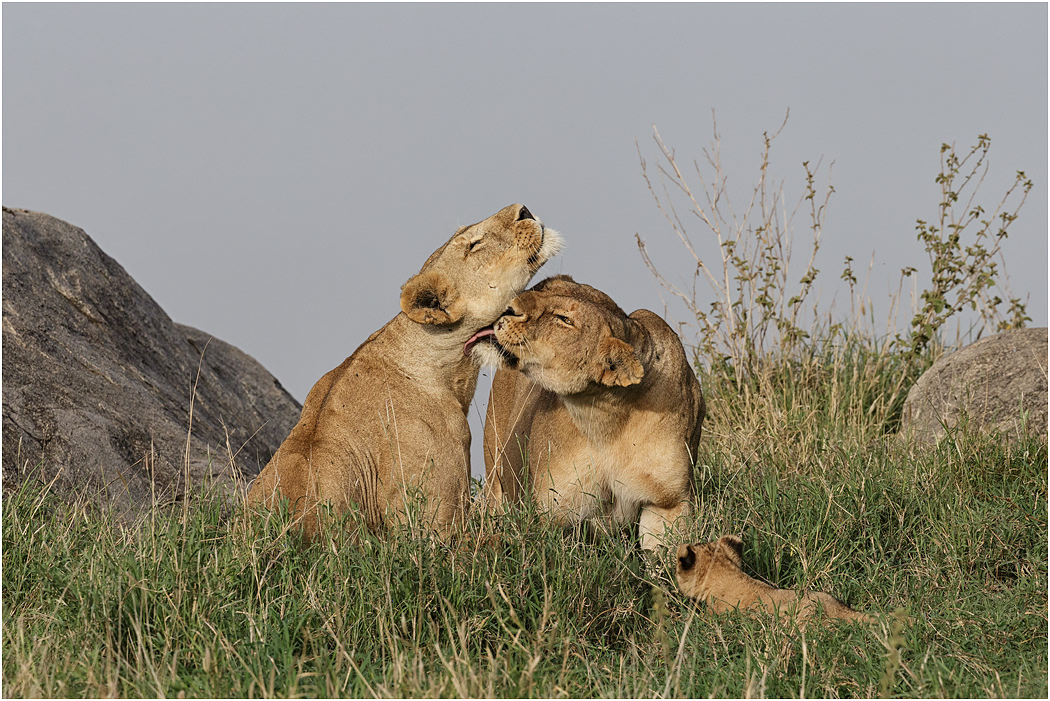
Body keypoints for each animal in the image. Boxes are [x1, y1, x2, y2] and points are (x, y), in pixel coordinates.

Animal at [476, 276, 705, 550]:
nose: (508, 307)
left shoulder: (668, 503)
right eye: (542, 287)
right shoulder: (555, 515)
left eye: (564, 319)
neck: (606, 419)